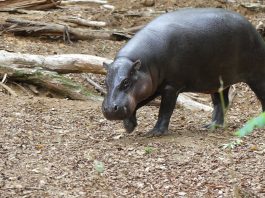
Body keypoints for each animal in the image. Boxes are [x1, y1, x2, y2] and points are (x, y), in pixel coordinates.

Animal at [100, 7, 264, 136]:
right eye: (105, 82)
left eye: (126, 82)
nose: (110, 110)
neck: (141, 64)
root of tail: (254, 30)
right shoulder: (152, 85)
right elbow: (139, 102)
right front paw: (129, 126)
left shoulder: (171, 86)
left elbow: (165, 110)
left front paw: (155, 133)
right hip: (218, 81)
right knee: (221, 103)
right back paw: (211, 126)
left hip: (256, 75)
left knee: (261, 95)